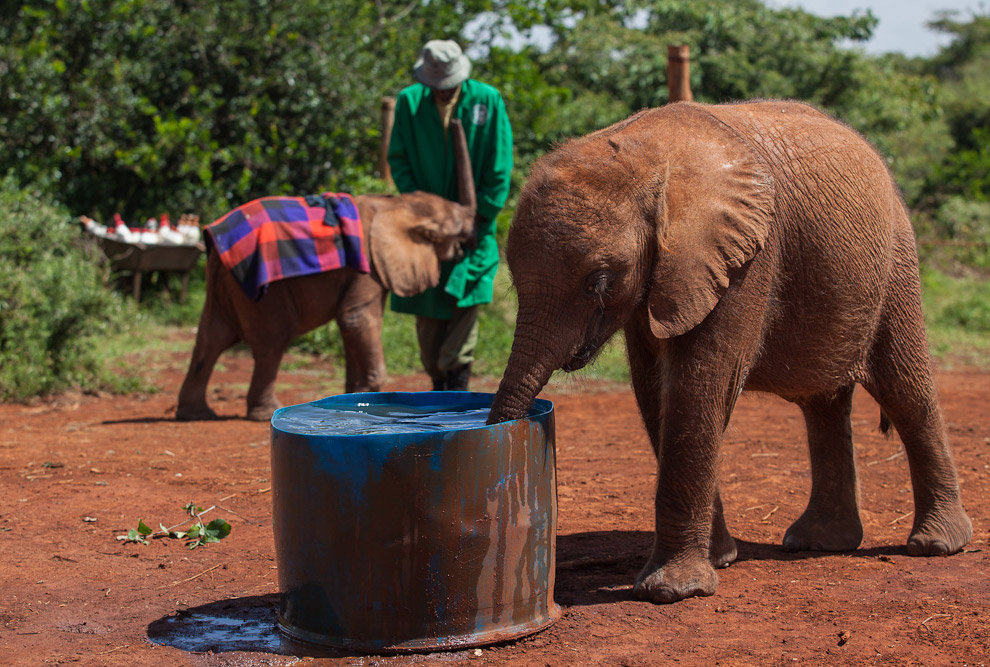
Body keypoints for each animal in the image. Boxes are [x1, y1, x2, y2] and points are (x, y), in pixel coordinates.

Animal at [179, 122, 480, 420]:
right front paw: (368, 394)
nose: (455, 122)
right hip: (261, 290)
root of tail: (216, 240)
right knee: (271, 344)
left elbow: (352, 326)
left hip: (222, 281)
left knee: (210, 340)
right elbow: (356, 319)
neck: (394, 204)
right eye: (451, 230)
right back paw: (265, 413)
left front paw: (355, 396)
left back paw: (196, 413)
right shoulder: (367, 266)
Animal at [488, 99, 976, 604]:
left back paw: (936, 545)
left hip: (897, 262)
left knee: (905, 390)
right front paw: (719, 560)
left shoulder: (746, 258)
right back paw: (819, 543)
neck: (649, 153)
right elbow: (655, 392)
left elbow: (699, 387)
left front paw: (672, 592)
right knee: (824, 404)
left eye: (598, 282)